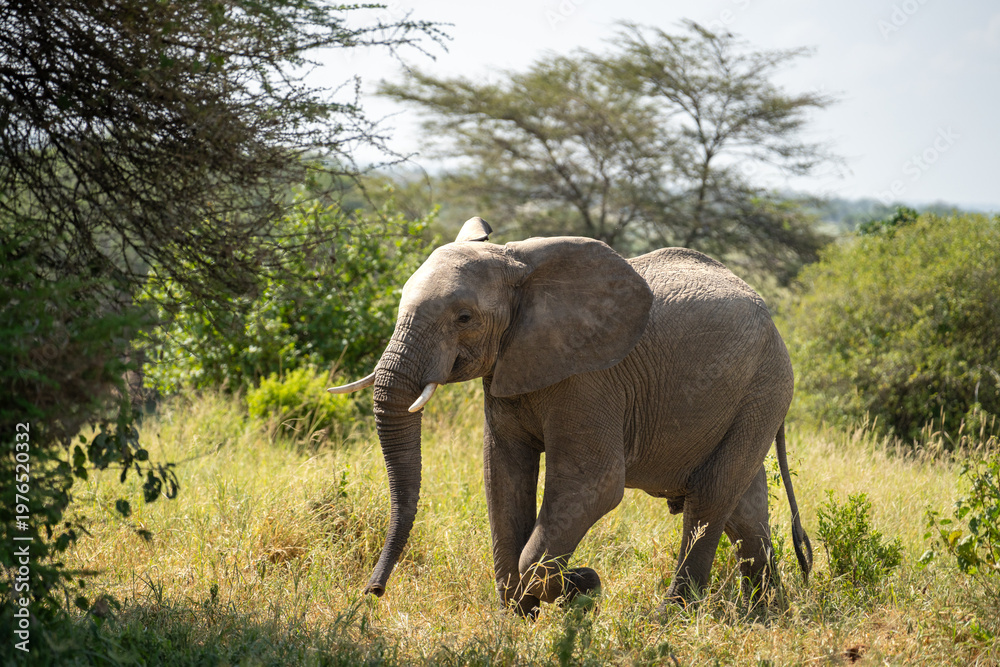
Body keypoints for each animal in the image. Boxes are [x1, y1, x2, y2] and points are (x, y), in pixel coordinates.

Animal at [330, 216, 812, 617]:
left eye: (464, 317)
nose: (373, 592)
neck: (518, 264)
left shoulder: (589, 380)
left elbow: (595, 484)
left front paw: (582, 583)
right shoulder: (508, 368)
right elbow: (502, 477)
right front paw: (517, 617)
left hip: (765, 386)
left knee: (711, 496)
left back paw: (670, 618)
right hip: (751, 394)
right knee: (743, 507)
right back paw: (768, 614)